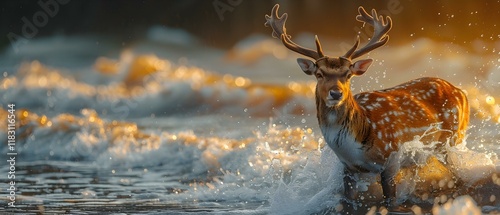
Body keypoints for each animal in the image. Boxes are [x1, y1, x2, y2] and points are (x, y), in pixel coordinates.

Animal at [264, 4, 470, 209]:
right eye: (319, 74)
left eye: (348, 74)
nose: (336, 93)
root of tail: (461, 92)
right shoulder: (348, 168)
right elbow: (348, 200)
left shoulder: (391, 158)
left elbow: (390, 200)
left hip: (453, 139)